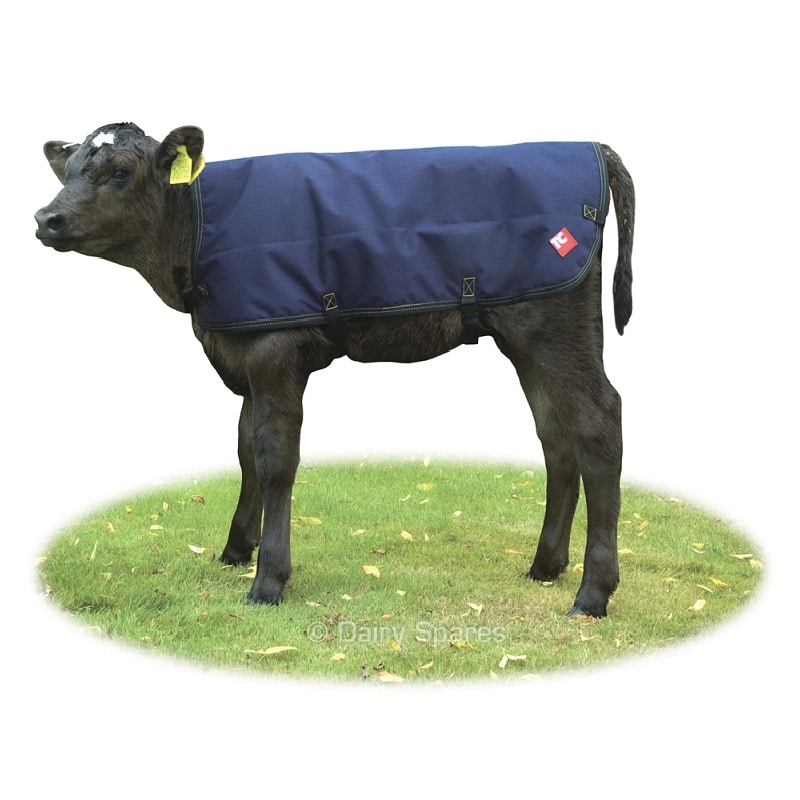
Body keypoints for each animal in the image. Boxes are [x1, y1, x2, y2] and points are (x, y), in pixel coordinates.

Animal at [34, 123, 634, 618]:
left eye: (121, 171)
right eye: (68, 169)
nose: (46, 218)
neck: (198, 230)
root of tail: (593, 147)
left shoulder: (276, 350)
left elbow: (276, 460)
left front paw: (268, 581)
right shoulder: (245, 354)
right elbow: (245, 450)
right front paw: (235, 550)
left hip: (553, 328)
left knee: (598, 424)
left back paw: (593, 593)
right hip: (529, 341)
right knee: (556, 437)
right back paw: (545, 567)